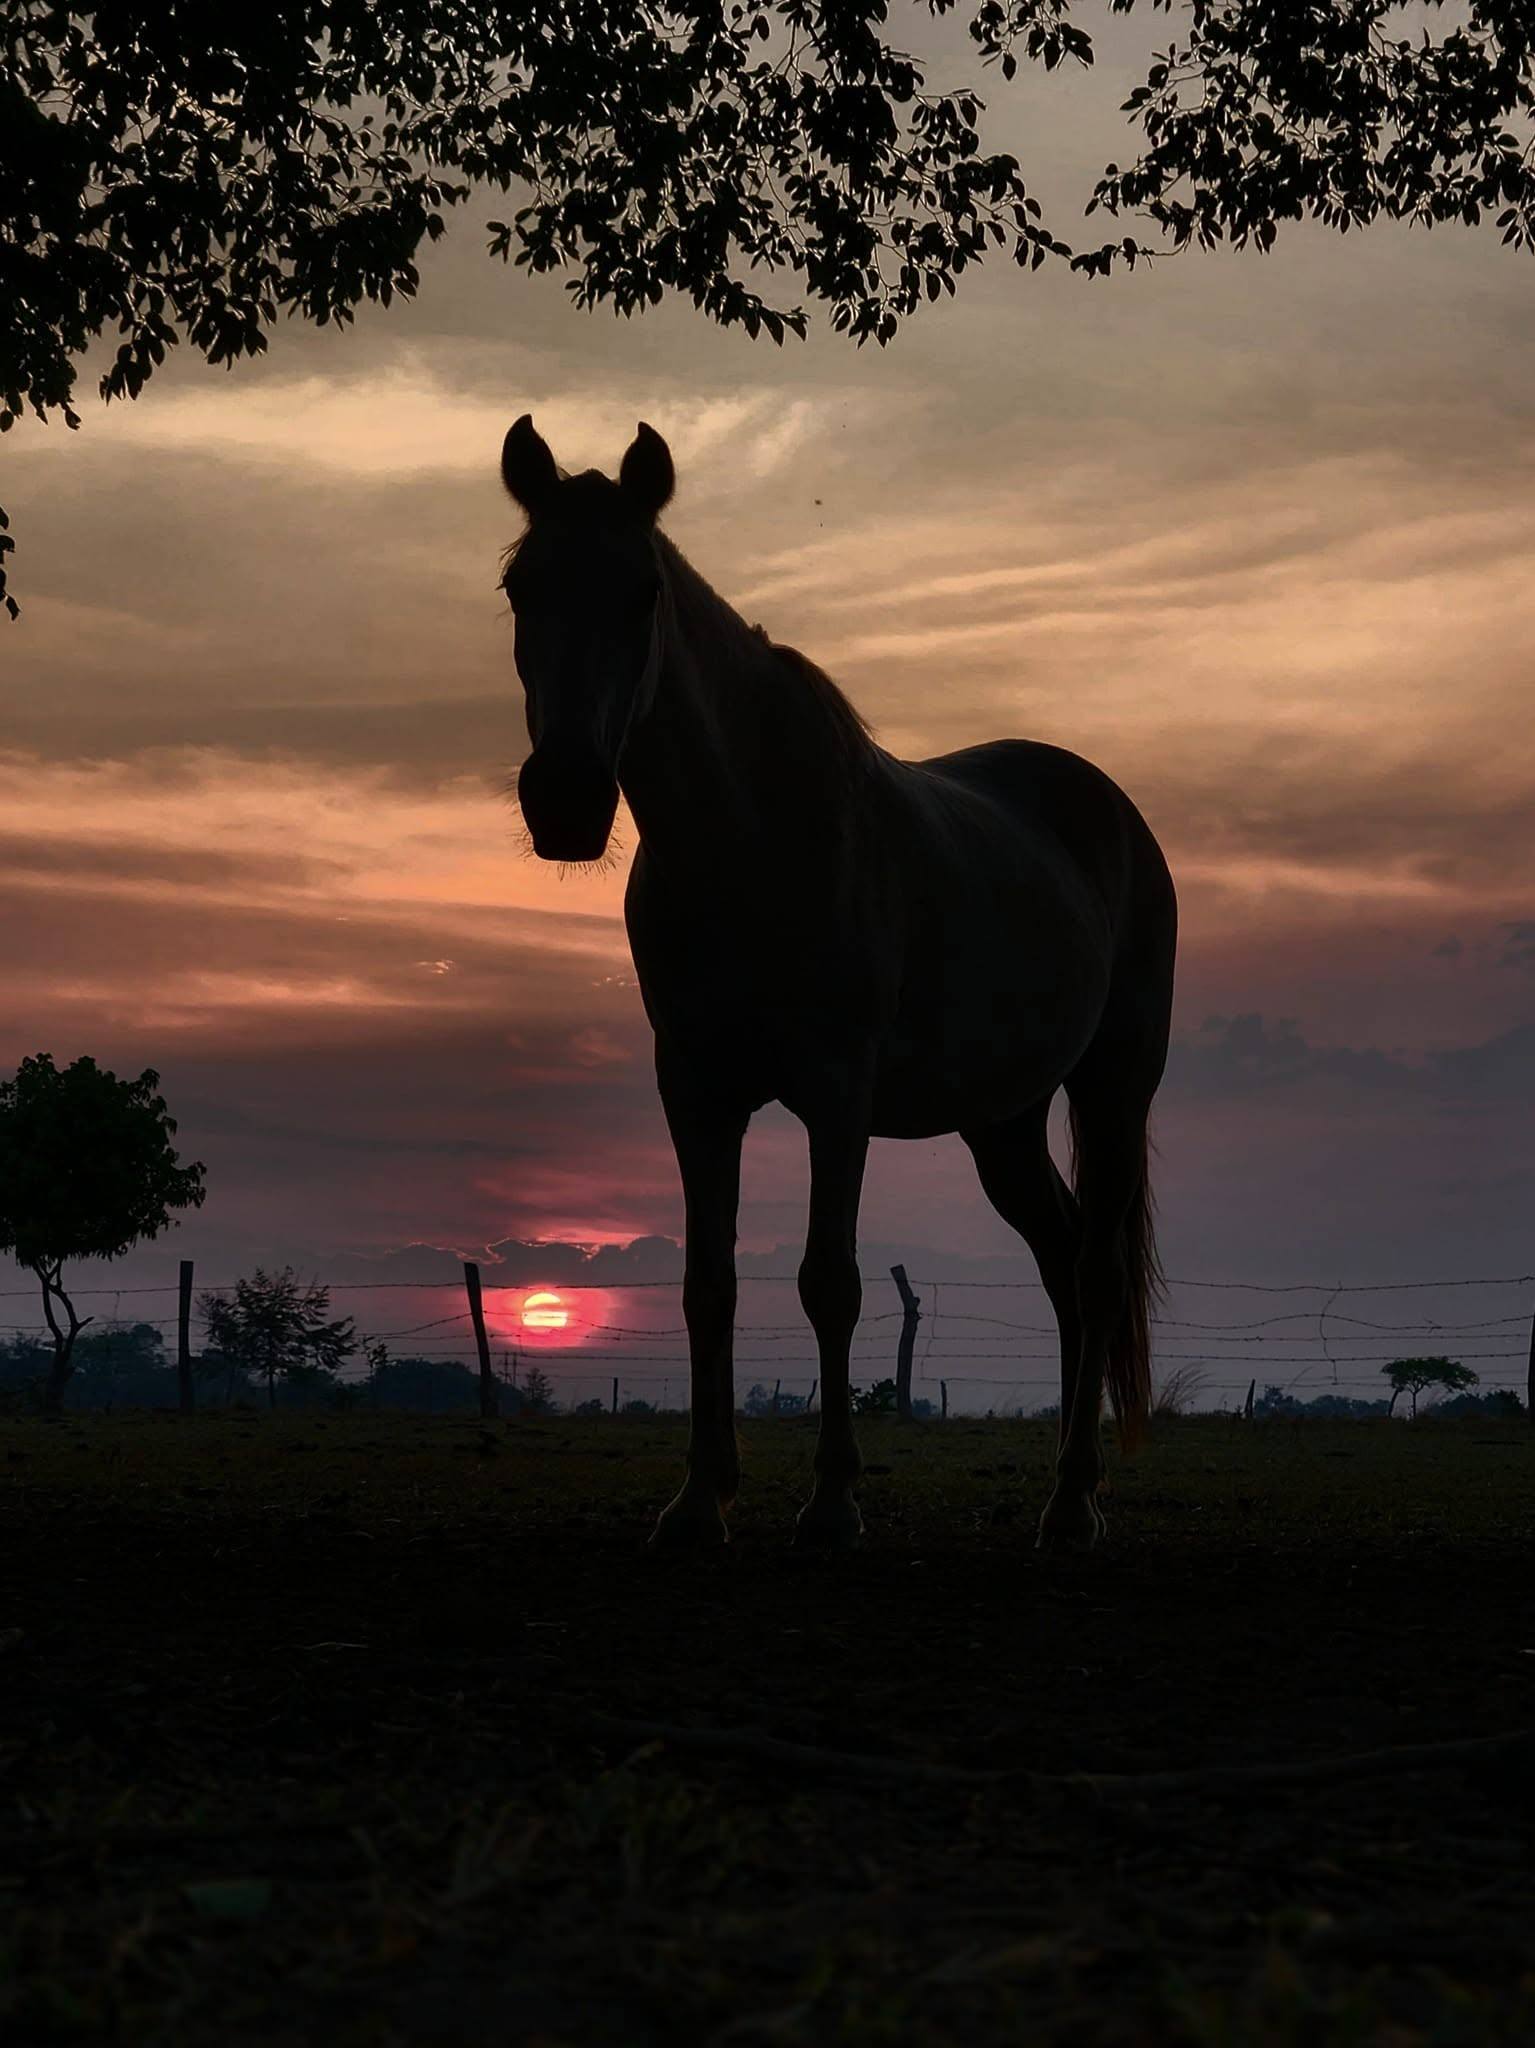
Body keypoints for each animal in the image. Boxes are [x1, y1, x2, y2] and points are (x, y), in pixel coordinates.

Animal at [498, 416, 1177, 1551]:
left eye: (643, 590)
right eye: (519, 586)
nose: (565, 799)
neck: (750, 838)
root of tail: (1109, 808)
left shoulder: (836, 1094)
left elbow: (829, 1283)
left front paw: (829, 1501)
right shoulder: (695, 1093)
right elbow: (707, 1284)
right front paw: (699, 1499)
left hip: (1112, 1088)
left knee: (1091, 1267)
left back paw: (1075, 1502)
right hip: (1001, 1122)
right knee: (1060, 1260)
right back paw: (1063, 1488)